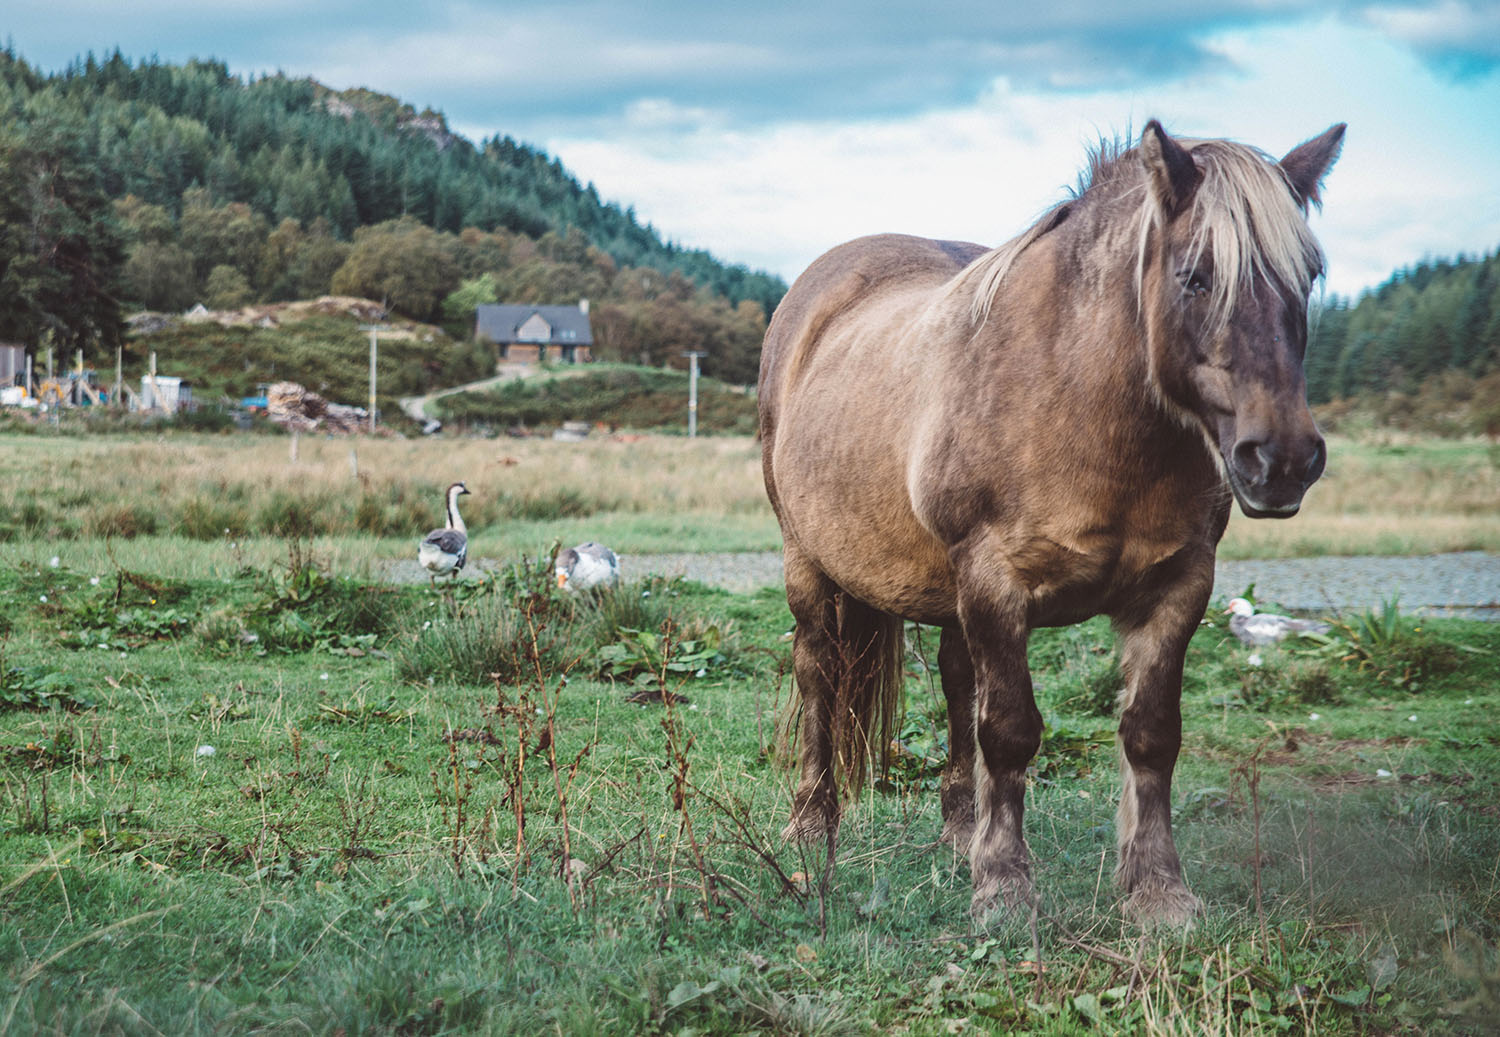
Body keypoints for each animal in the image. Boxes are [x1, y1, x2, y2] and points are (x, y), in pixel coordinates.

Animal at [762, 119, 1350, 924]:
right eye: (1195, 277)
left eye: (1309, 277)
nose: (1284, 458)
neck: (1083, 405)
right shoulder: (994, 581)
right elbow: (1010, 731)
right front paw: (1006, 889)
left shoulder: (1180, 585)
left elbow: (1150, 734)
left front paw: (1158, 891)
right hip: (811, 568)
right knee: (821, 675)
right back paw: (809, 828)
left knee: (956, 685)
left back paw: (960, 832)